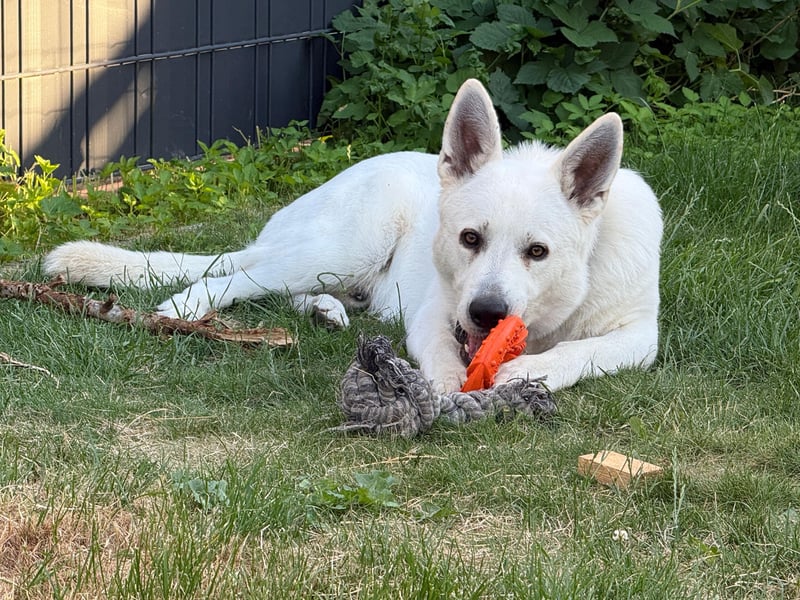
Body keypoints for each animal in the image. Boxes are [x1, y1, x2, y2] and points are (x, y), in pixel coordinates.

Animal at [44, 79, 662, 392]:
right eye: (469, 239)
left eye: (538, 252)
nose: (486, 315)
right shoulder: (435, 313)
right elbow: (442, 356)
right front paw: (446, 387)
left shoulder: (641, 336)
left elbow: (585, 350)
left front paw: (531, 370)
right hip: (345, 245)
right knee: (238, 276)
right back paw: (182, 309)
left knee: (292, 291)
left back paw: (325, 311)